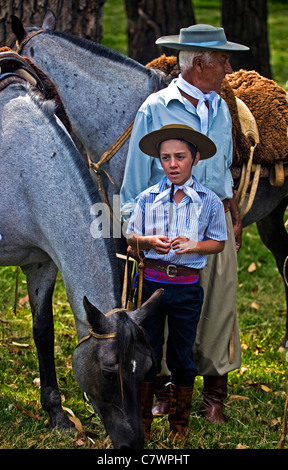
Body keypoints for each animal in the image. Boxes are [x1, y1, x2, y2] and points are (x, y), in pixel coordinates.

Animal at [0, 69, 162, 448]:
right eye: (108, 371)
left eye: (147, 368)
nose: (132, 445)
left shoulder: (42, 262)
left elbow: (43, 330)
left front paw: (56, 413)